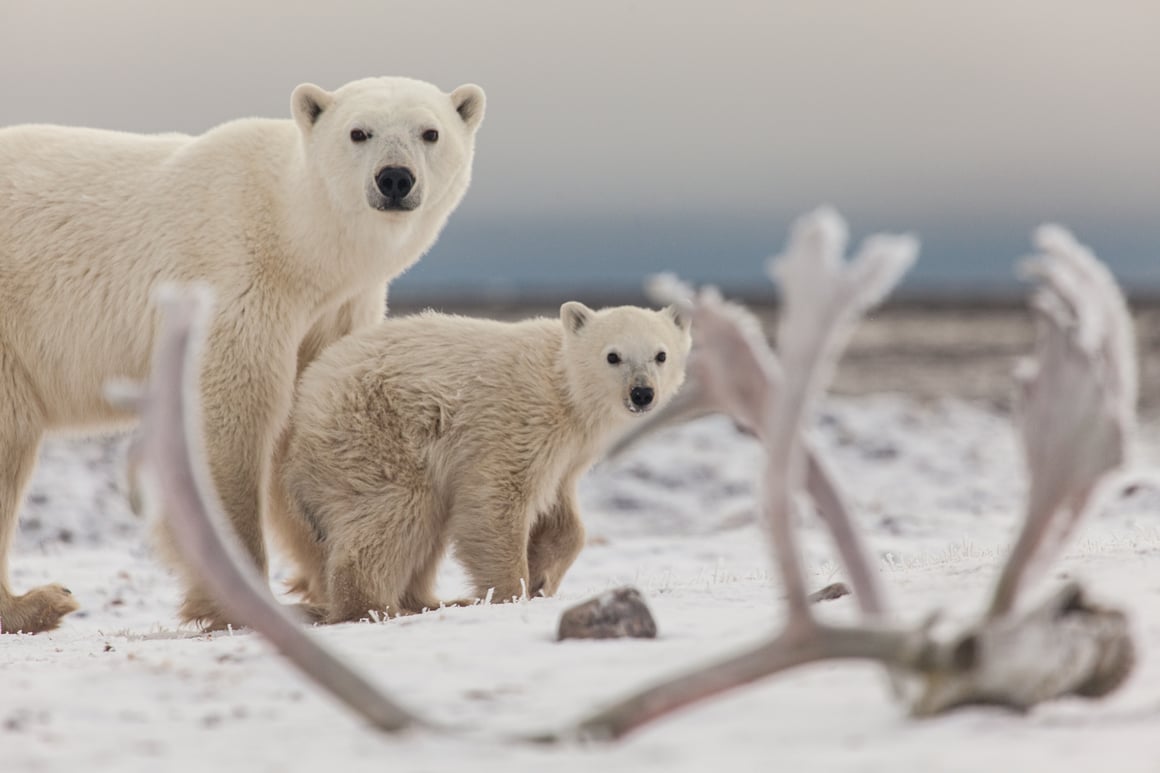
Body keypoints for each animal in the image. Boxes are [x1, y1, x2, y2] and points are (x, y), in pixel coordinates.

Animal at [0, 75, 484, 631]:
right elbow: (230, 416)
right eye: (359, 132)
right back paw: (37, 602)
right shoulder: (237, 280)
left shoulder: (334, 312)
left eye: (430, 132)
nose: (395, 179)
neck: (296, 239)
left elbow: (313, 423)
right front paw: (248, 600)